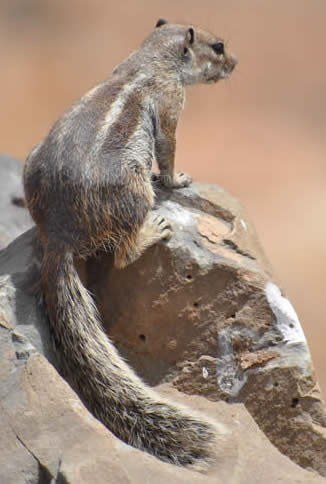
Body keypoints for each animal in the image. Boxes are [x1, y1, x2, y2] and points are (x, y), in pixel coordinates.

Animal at [22, 19, 237, 472]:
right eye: (218, 46)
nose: (236, 63)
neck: (150, 59)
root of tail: (60, 234)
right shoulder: (172, 106)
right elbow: (169, 151)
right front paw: (179, 180)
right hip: (135, 191)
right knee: (122, 254)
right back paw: (153, 230)